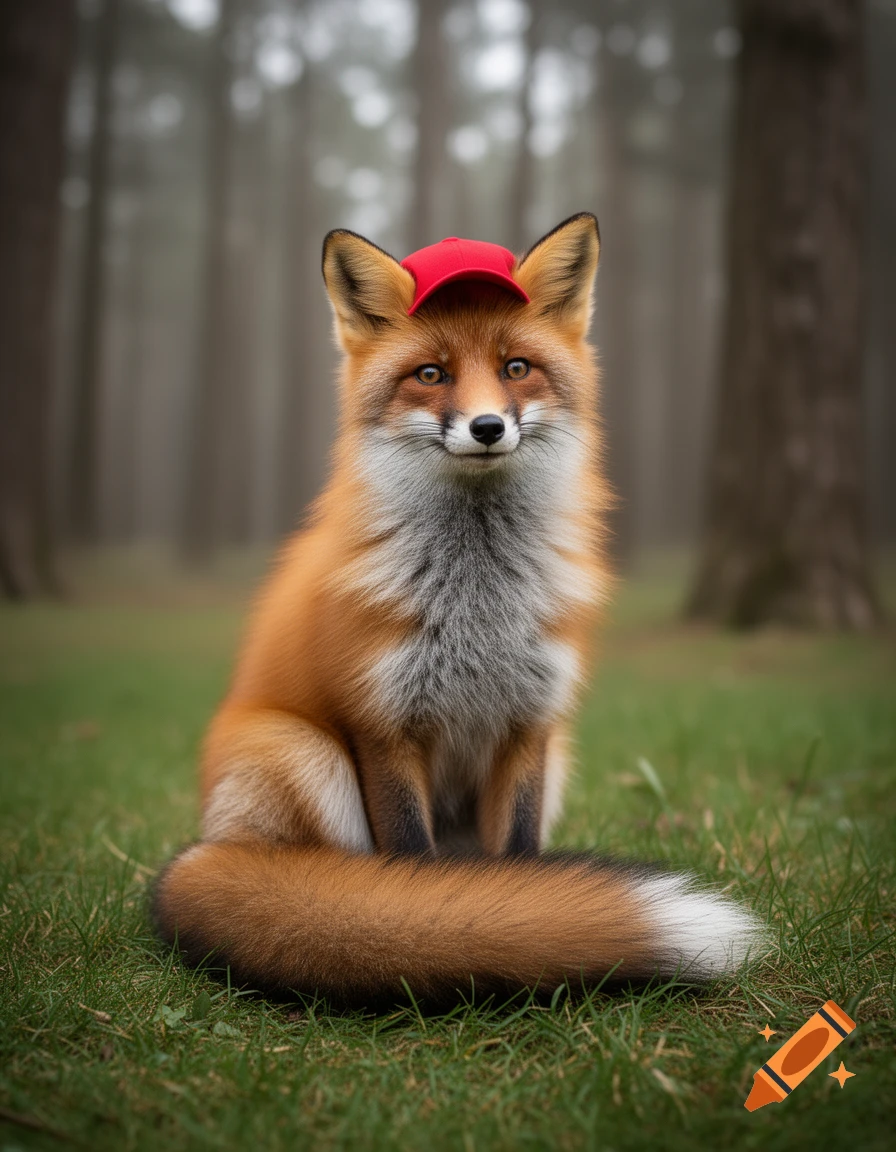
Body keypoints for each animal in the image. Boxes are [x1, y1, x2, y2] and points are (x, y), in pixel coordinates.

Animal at [152, 213, 762, 1006]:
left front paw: (526, 917)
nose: (486, 427)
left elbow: (523, 864)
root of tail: (208, 846)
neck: (479, 606)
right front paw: (425, 927)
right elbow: (410, 871)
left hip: (556, 757)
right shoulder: (383, 727)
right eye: (431, 374)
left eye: (516, 368)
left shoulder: (531, 725)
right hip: (299, 749)